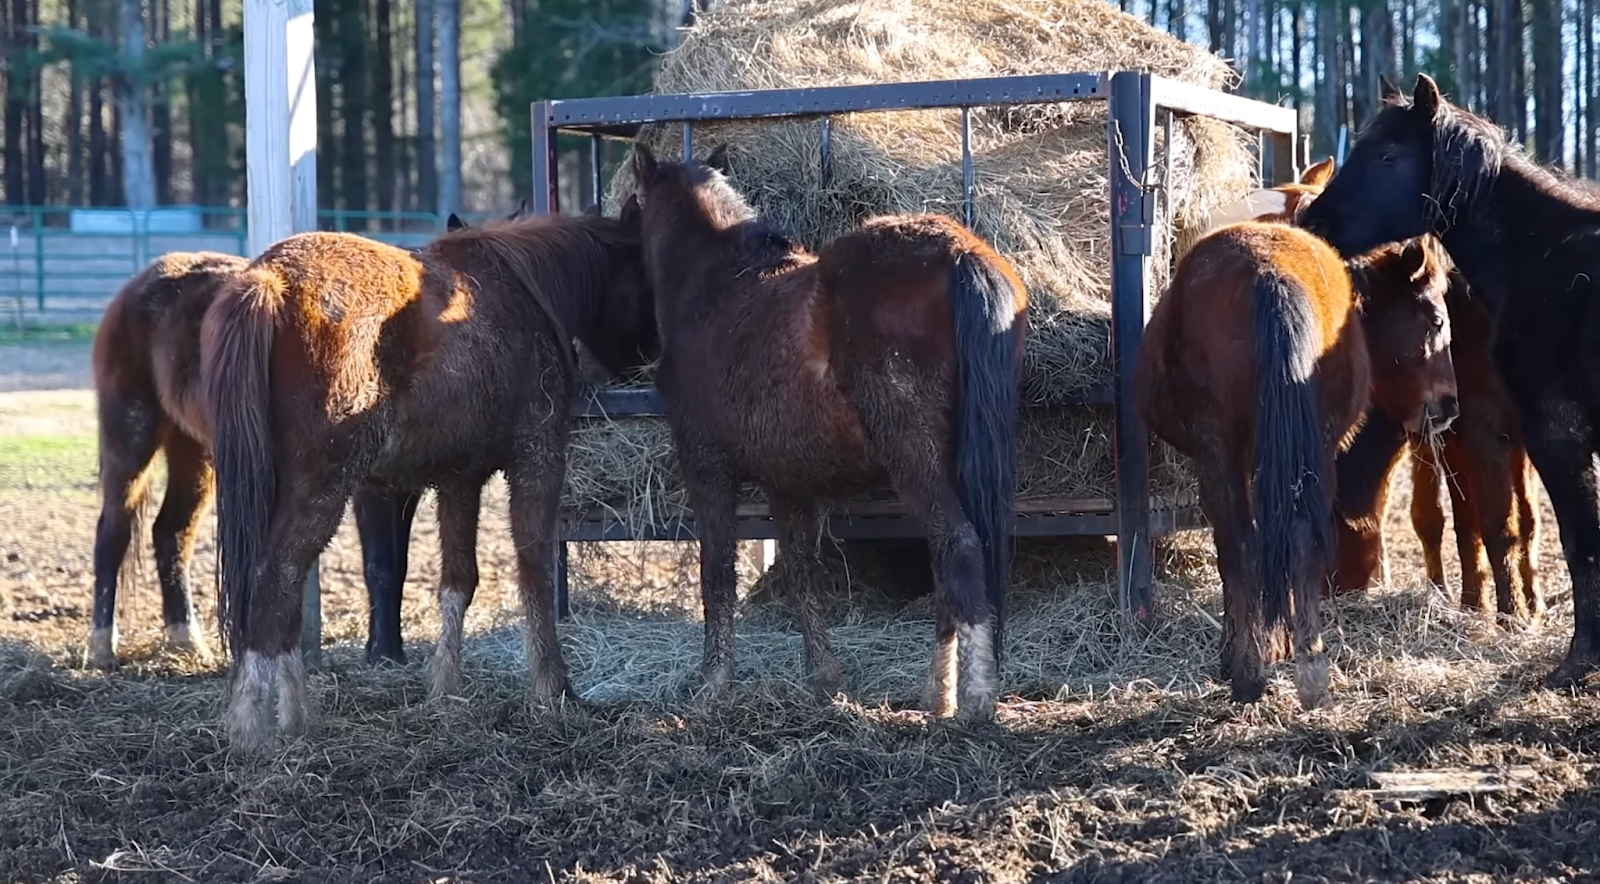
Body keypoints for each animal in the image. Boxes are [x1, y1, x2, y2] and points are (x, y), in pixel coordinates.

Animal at [200, 201, 656, 751]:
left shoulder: (460, 480)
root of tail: (271, 280)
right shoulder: (538, 460)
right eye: (646, 273)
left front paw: (444, 689)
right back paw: (254, 727)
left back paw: (293, 716)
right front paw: (554, 688)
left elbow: (459, 580)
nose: (652, 362)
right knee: (275, 578)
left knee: (280, 587)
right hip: (322, 488)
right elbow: (534, 572)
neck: (524, 289)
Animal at [628, 143, 1026, 722]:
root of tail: (958, 251)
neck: (717, 290)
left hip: (914, 454)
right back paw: (938, 696)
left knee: (959, 545)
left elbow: (717, 574)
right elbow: (802, 574)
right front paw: (824, 680)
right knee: (944, 557)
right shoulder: (789, 485)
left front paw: (713, 685)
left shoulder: (707, 471)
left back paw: (975, 701)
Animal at [1135, 166, 1459, 709]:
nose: (1448, 406)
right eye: (1435, 319)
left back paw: (1250, 671)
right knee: (1293, 535)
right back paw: (1302, 665)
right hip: (1306, 448)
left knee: (1245, 540)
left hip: (1223, 446)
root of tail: (1268, 274)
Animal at [1330, 268, 1542, 623]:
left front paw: (1514, 613)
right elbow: (1459, 522)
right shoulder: (1449, 438)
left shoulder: (1485, 432)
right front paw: (1473, 604)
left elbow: (1501, 524)